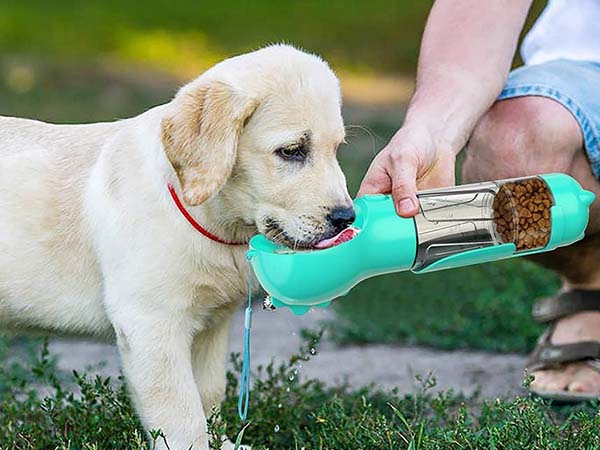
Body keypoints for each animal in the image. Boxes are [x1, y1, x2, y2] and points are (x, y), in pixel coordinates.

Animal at [0, 46, 352, 450]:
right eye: (292, 151)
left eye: (337, 149)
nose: (347, 217)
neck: (213, 222)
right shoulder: (151, 322)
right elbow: (181, 413)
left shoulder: (211, 326)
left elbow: (208, 396)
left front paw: (223, 443)